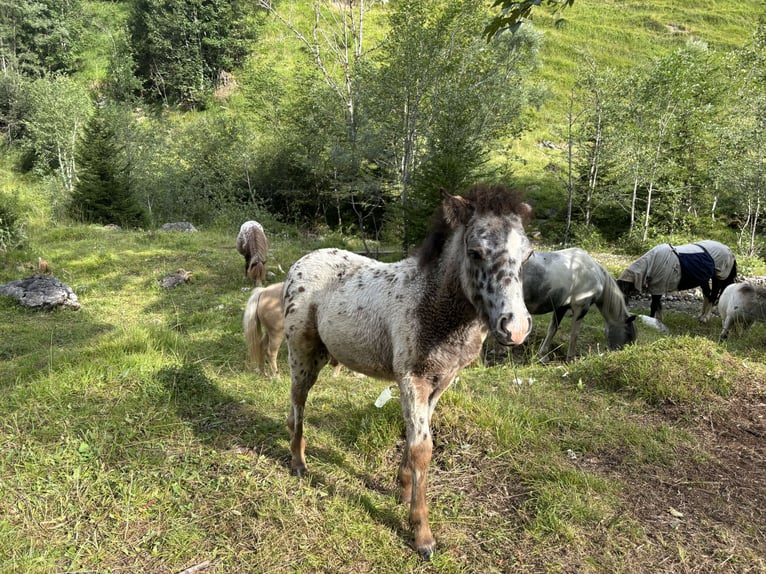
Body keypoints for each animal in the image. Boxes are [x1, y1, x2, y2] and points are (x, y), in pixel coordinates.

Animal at [280, 186, 536, 564]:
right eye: (475, 252)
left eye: (528, 255)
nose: (514, 327)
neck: (431, 303)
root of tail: (302, 261)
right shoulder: (411, 379)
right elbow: (422, 449)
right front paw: (422, 534)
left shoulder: (441, 381)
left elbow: (416, 438)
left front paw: (402, 489)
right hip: (302, 352)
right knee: (298, 399)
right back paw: (298, 462)